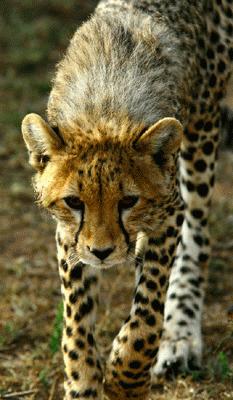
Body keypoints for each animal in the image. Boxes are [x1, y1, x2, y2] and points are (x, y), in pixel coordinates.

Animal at [20, 0, 232, 400]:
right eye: (74, 202)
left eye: (129, 201)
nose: (103, 252)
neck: (105, 109)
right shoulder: (69, 235)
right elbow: (76, 318)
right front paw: (83, 383)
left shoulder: (167, 212)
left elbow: (146, 311)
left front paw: (126, 379)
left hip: (202, 135)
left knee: (197, 239)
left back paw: (180, 336)